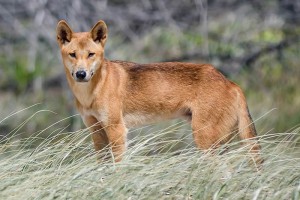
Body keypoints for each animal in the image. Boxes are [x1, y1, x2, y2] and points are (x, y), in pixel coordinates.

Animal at [56, 19, 262, 164]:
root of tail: (231, 83)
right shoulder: (96, 131)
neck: (91, 93)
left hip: (204, 139)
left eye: (91, 54)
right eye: (72, 54)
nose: (81, 74)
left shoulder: (117, 130)